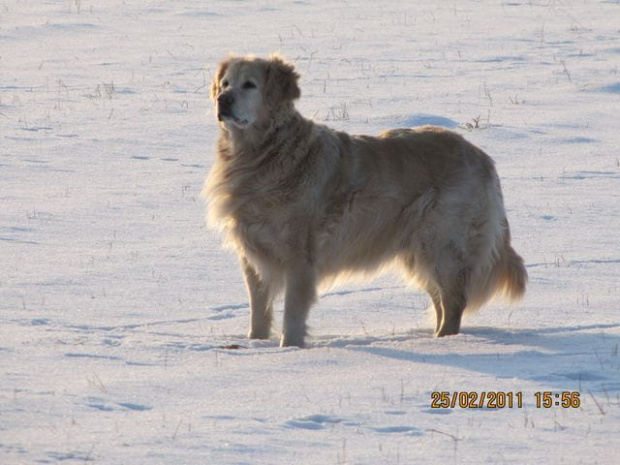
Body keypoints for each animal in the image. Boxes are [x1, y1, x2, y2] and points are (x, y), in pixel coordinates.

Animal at [205, 52, 528, 346]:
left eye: (249, 85)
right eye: (225, 83)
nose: (223, 99)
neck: (264, 154)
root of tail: (482, 156)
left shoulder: (299, 258)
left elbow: (293, 316)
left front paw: (290, 348)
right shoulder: (252, 254)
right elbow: (258, 311)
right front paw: (257, 343)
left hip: (441, 244)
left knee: (454, 302)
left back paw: (445, 343)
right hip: (420, 251)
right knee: (441, 302)